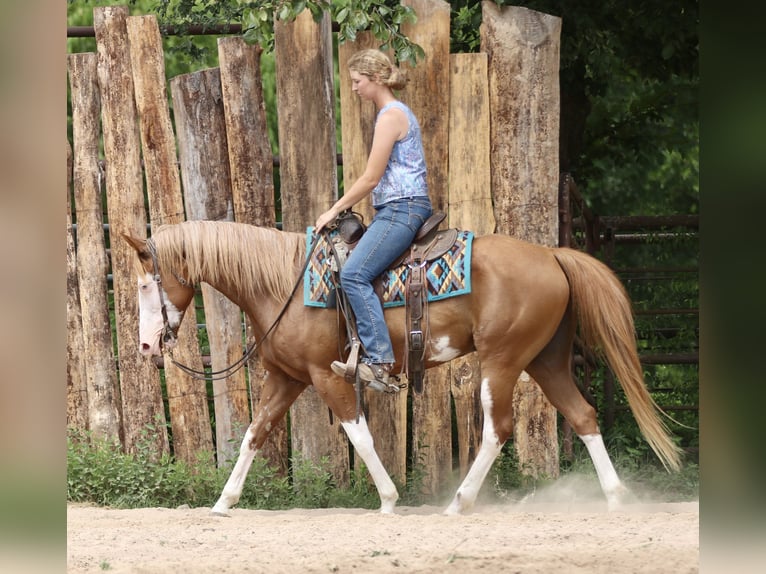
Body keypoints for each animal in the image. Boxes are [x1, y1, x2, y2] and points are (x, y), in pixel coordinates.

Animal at [123, 219, 681, 515]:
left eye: (146, 284)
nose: (148, 346)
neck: (283, 286)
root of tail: (552, 255)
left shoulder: (327, 376)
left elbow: (360, 434)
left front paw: (389, 499)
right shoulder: (288, 377)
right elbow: (253, 435)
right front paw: (224, 502)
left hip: (501, 361)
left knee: (497, 429)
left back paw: (460, 501)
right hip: (545, 361)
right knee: (584, 416)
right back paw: (614, 497)